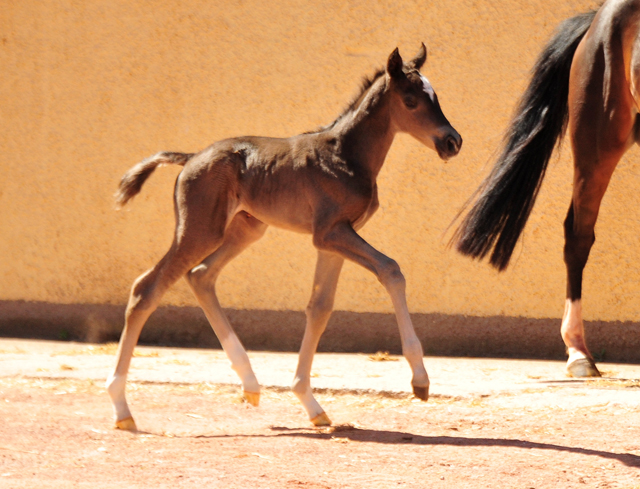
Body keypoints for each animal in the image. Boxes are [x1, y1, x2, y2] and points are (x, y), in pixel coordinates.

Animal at [107, 43, 462, 428]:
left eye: (436, 96)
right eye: (411, 100)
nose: (452, 141)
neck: (346, 155)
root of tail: (190, 158)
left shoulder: (334, 238)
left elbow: (319, 308)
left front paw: (310, 403)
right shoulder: (331, 232)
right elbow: (391, 270)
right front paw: (420, 380)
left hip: (246, 228)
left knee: (200, 276)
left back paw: (250, 384)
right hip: (201, 229)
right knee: (147, 288)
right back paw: (122, 409)